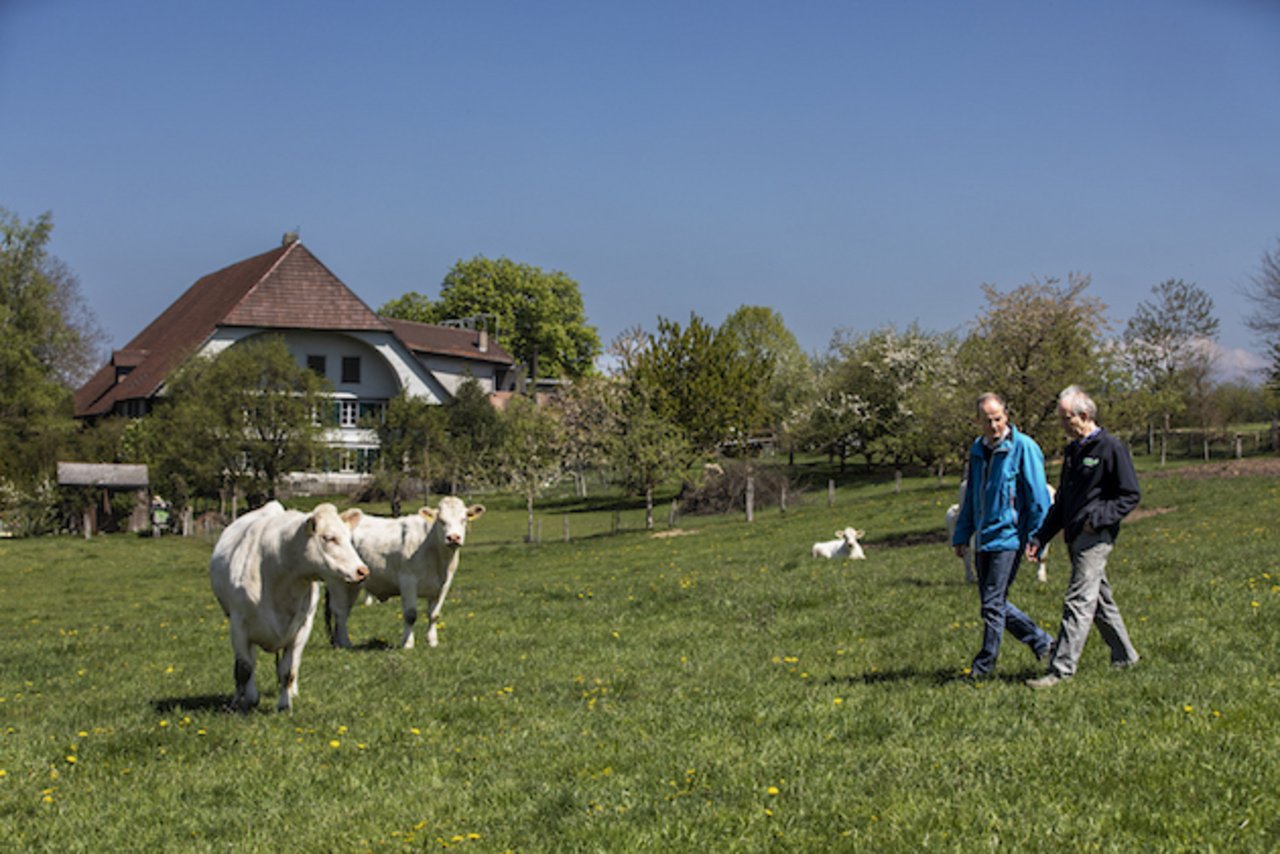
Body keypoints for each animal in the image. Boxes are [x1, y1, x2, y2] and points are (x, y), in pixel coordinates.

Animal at [327, 496, 486, 650]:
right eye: (441, 520)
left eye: (464, 519)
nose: (453, 537)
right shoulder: (408, 580)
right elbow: (410, 615)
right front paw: (408, 643)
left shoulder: (443, 585)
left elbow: (434, 615)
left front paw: (433, 642)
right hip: (338, 581)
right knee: (340, 611)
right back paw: (345, 643)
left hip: (353, 583)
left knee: (345, 610)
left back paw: (338, 642)